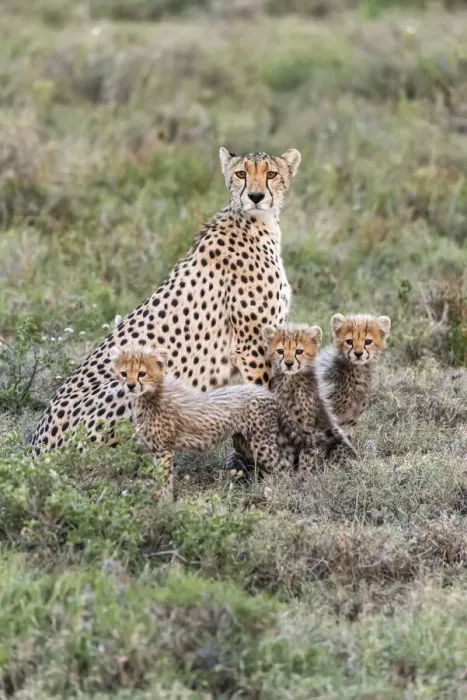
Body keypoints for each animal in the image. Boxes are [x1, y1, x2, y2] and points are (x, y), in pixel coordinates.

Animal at [31, 147, 301, 455]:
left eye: (272, 174)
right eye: (241, 173)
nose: (255, 196)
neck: (256, 221)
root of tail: (35, 446)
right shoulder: (251, 347)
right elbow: (264, 396)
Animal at [111, 344, 319, 500]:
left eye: (142, 373)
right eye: (124, 373)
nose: (130, 385)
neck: (149, 396)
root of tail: (265, 392)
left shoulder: (164, 451)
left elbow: (165, 482)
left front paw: (164, 506)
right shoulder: (152, 451)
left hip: (262, 444)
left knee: (283, 467)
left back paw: (282, 494)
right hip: (244, 442)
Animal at [263, 323, 358, 470]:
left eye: (299, 351)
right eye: (280, 351)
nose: (289, 363)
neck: (290, 381)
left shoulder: (308, 431)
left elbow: (306, 456)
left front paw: (304, 474)